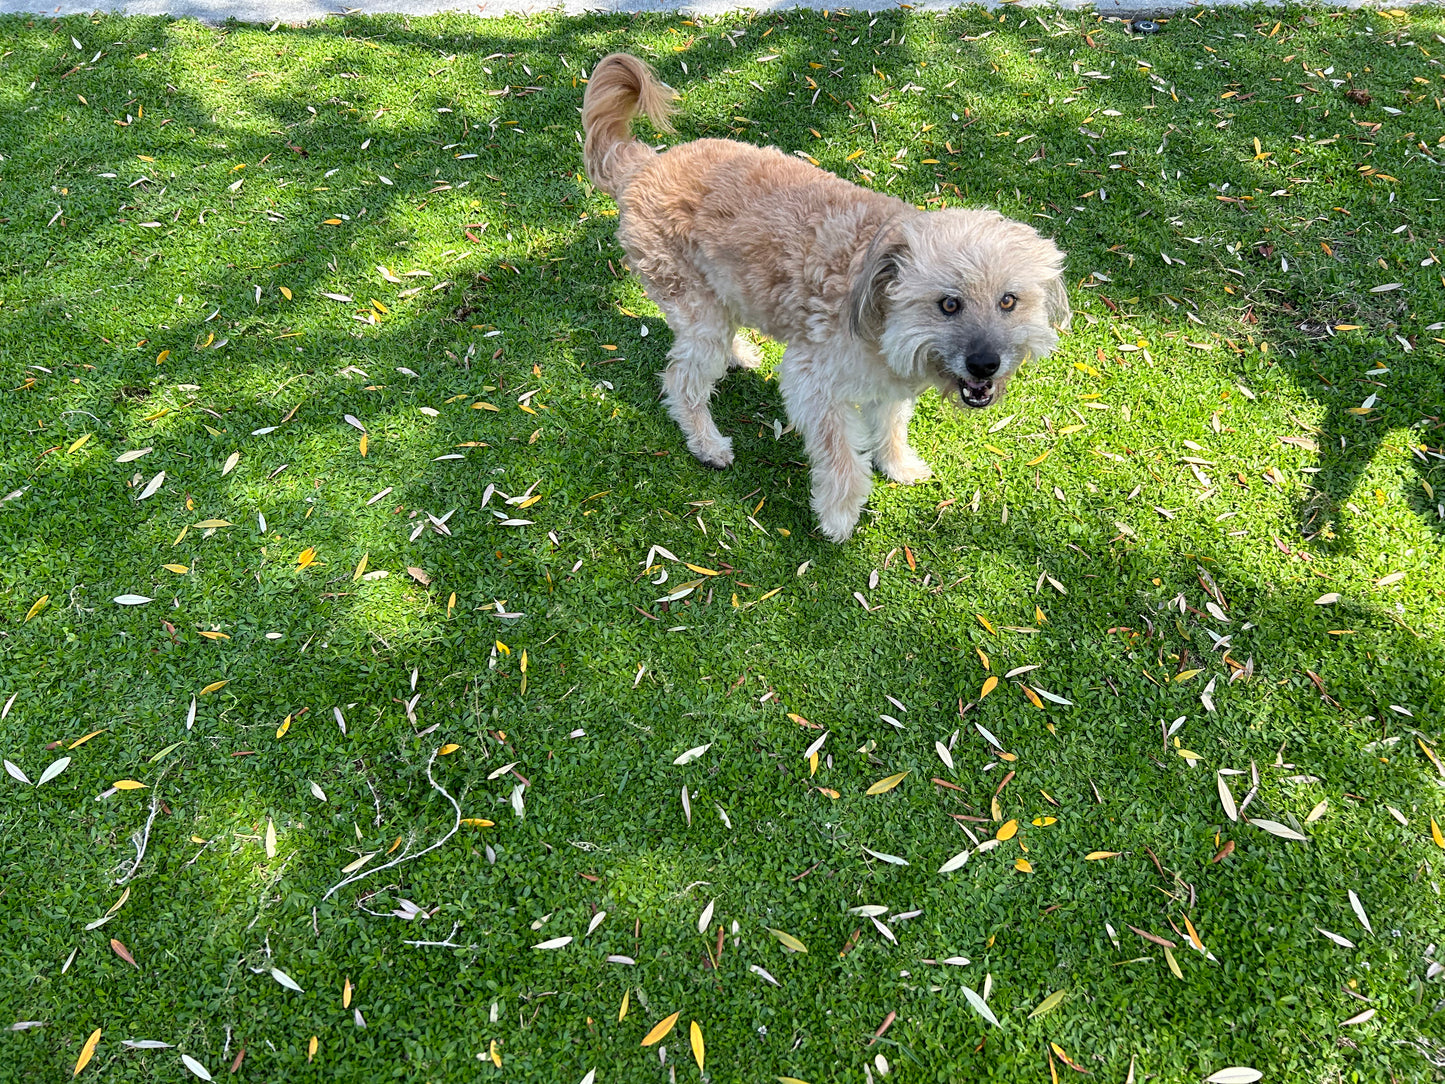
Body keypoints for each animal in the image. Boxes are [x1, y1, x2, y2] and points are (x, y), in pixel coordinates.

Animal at [580, 52, 1069, 543]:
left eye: (1008, 301)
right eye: (949, 304)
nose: (986, 364)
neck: (876, 307)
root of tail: (643, 164)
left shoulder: (890, 384)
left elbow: (892, 424)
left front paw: (898, 464)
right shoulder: (812, 382)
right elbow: (841, 458)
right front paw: (839, 516)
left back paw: (740, 355)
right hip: (696, 309)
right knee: (681, 378)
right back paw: (708, 443)